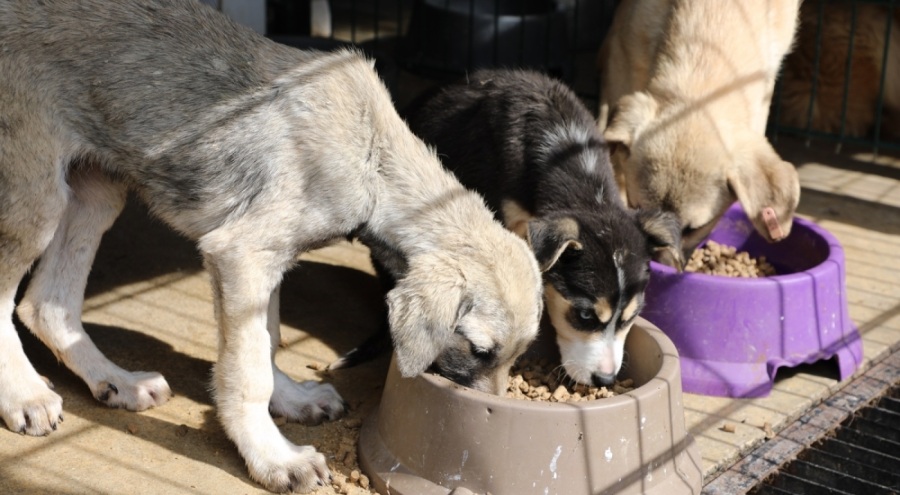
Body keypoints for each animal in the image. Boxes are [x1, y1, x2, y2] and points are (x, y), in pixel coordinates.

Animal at [0, 1, 540, 494]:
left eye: (517, 355)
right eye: (479, 349)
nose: (491, 414)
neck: (372, 157)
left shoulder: (269, 262)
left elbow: (269, 337)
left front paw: (292, 401)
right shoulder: (241, 254)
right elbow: (249, 369)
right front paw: (274, 456)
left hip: (96, 191)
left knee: (47, 304)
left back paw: (117, 381)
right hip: (35, 198)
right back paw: (25, 395)